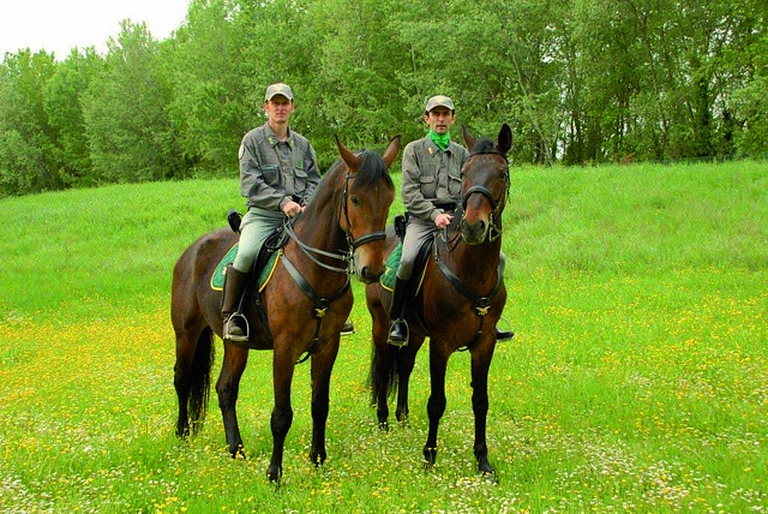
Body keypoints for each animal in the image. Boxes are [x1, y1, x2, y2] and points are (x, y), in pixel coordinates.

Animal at [172, 135, 400, 482]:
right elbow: (281, 413)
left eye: (388, 199)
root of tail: (191, 251)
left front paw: (317, 459)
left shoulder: (327, 346)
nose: (371, 270)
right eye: (355, 199)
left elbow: (320, 404)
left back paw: (236, 449)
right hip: (186, 334)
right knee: (183, 381)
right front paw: (274, 473)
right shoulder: (285, 348)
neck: (314, 268)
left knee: (226, 389)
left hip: (235, 344)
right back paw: (183, 436)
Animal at [366, 124, 512, 479]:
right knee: (385, 366)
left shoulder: (485, 342)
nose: (473, 226)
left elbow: (481, 401)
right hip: (382, 324)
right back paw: (384, 420)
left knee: (404, 366)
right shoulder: (441, 343)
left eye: (501, 173)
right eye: (465, 172)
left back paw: (403, 416)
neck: (471, 270)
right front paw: (429, 456)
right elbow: (437, 401)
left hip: (416, 332)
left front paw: (483, 461)